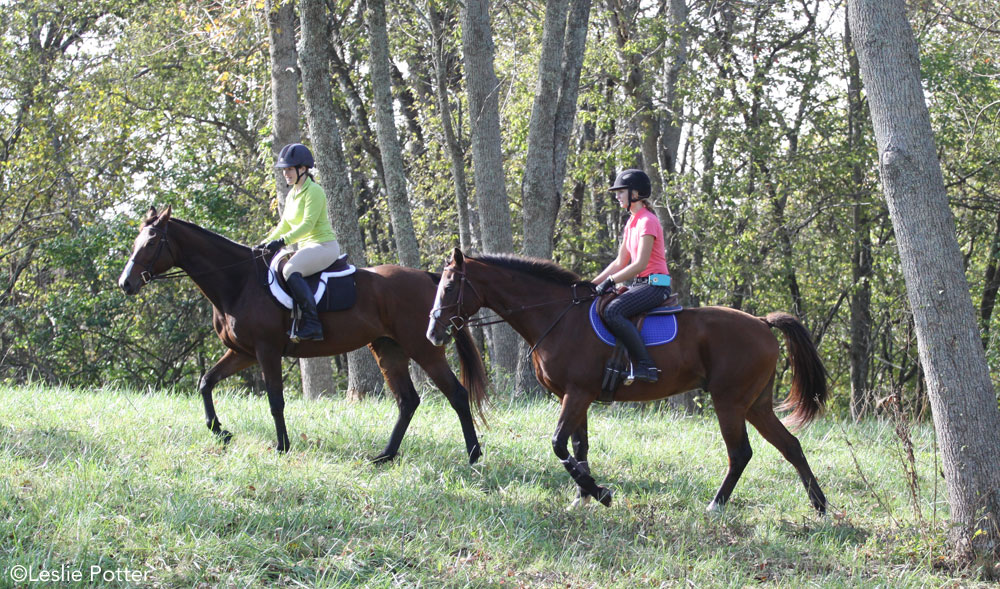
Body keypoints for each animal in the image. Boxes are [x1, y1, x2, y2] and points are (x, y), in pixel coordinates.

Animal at [119, 207, 486, 460]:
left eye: (152, 242)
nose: (126, 283)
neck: (238, 283)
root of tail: (428, 277)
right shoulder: (243, 353)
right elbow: (206, 382)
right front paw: (219, 431)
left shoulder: (266, 351)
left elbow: (275, 400)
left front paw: (281, 446)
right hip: (388, 349)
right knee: (408, 401)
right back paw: (385, 456)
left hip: (422, 349)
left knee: (456, 393)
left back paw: (473, 454)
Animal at [430, 246, 828, 512]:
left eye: (449, 288)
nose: (433, 333)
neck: (558, 317)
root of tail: (762, 323)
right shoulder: (576, 397)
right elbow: (578, 448)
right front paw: (583, 498)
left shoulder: (577, 394)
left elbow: (559, 445)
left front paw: (601, 494)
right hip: (756, 404)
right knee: (790, 445)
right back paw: (820, 505)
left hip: (729, 402)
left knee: (740, 453)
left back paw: (716, 505)